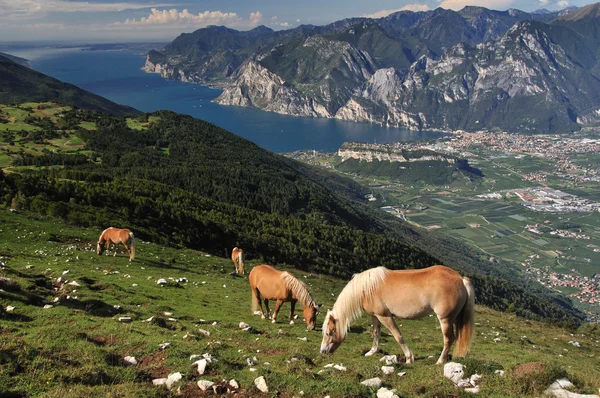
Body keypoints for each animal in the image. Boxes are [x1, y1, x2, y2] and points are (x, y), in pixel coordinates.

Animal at [318, 264, 474, 364]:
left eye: (330, 332)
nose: (323, 352)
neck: (367, 288)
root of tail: (461, 279)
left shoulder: (385, 316)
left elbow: (398, 336)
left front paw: (409, 358)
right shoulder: (375, 315)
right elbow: (376, 333)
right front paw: (372, 352)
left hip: (445, 319)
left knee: (448, 339)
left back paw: (440, 361)